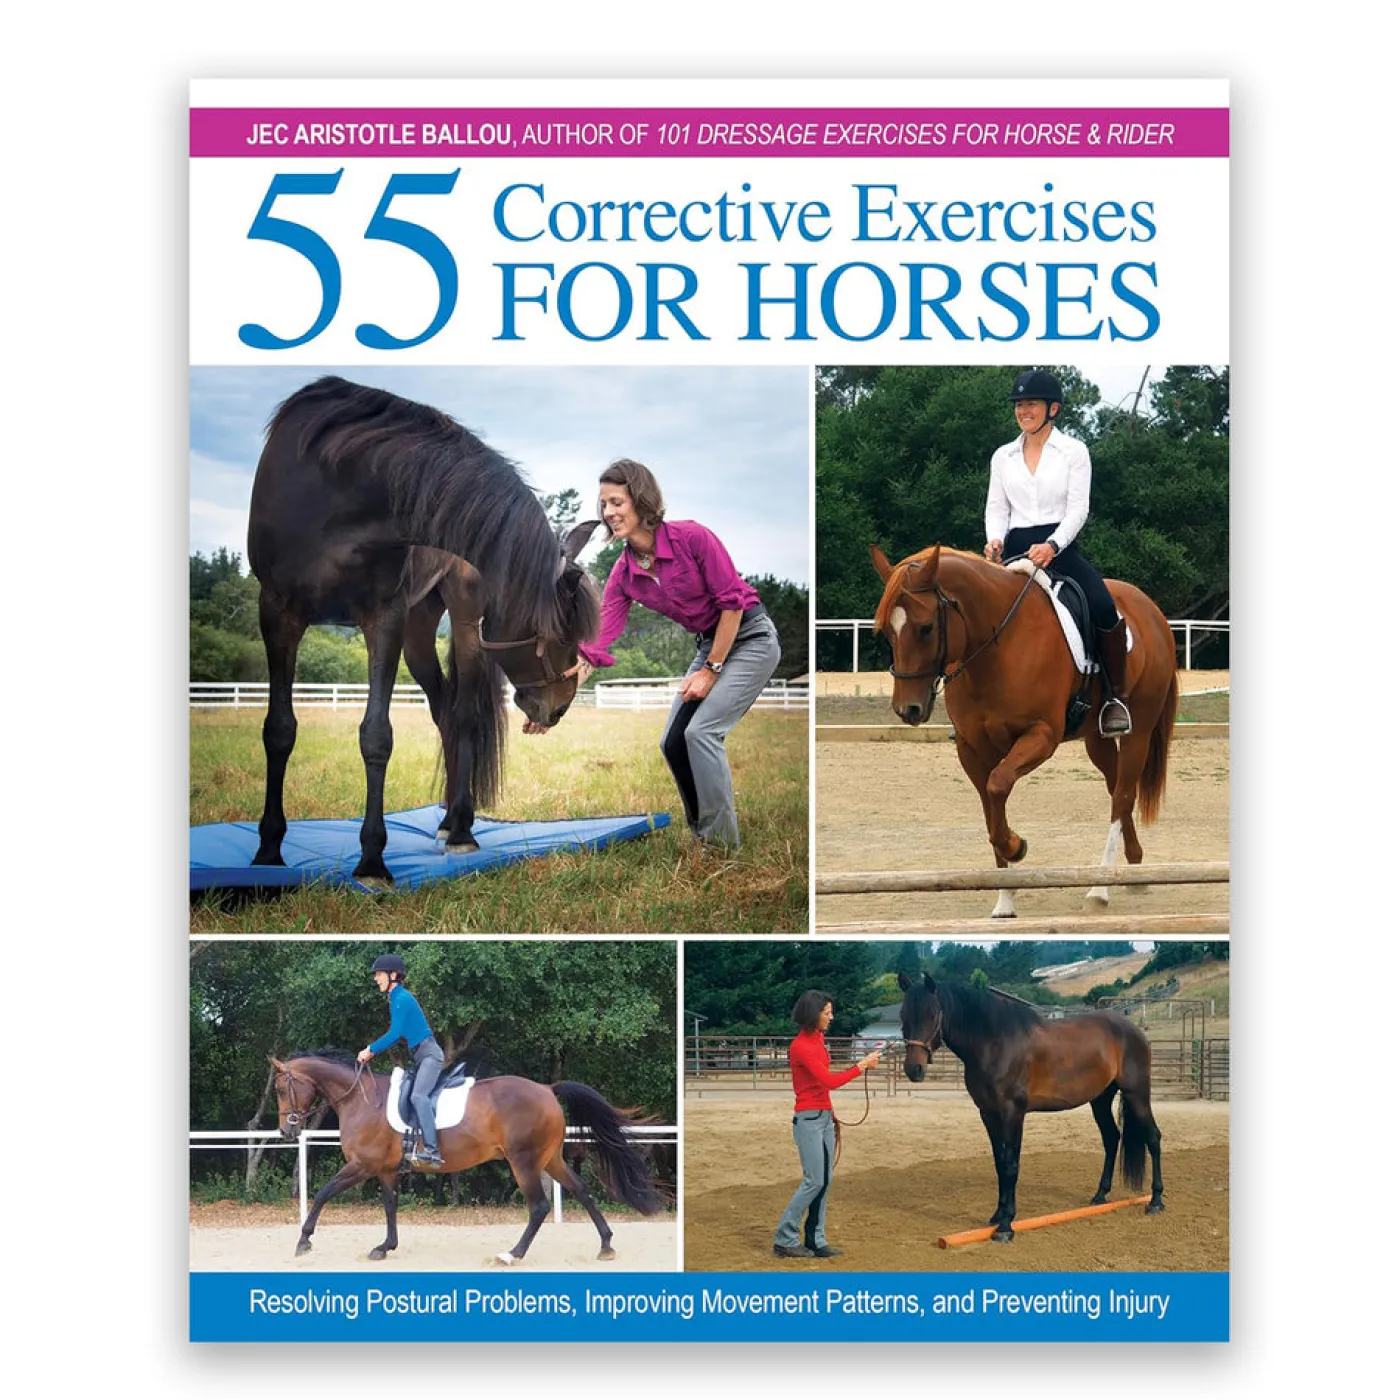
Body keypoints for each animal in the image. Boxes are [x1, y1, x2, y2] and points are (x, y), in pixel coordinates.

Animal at [247, 377, 601, 886]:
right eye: (561, 631)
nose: (560, 706)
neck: (339, 489)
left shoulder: (383, 618)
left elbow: (376, 736)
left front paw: (371, 862)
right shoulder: (277, 613)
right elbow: (279, 729)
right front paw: (269, 852)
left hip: (464, 626)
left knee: (465, 716)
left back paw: (461, 829)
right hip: (417, 634)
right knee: (445, 712)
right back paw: (450, 822)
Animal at [269, 1051, 663, 1265]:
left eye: (280, 1088)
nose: (286, 1131)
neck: (360, 1098)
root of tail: (546, 1089)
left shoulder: (362, 1166)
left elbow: (323, 1193)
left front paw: (303, 1241)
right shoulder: (385, 1170)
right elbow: (390, 1206)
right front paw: (385, 1247)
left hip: (523, 1162)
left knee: (538, 1207)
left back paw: (511, 1255)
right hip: (550, 1159)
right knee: (582, 1190)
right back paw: (606, 1245)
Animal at [871, 544, 1178, 915]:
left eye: (926, 628)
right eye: (887, 631)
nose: (908, 710)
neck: (997, 646)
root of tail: (1150, 608)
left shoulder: (1041, 735)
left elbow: (998, 784)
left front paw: (1015, 846)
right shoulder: (971, 748)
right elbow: (989, 808)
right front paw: (1004, 899)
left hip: (1140, 731)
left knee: (1122, 796)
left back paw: (1100, 888)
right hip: (1096, 739)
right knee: (1115, 786)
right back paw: (1134, 869)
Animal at [897, 972, 1164, 1242]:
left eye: (932, 1014)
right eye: (903, 1014)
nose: (913, 1069)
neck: (994, 1043)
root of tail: (1135, 1031)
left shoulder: (1012, 1113)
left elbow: (1011, 1165)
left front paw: (1006, 1225)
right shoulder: (988, 1114)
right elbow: (999, 1163)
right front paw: (997, 1216)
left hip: (1137, 1093)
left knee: (1153, 1137)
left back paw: (1155, 1201)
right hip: (1100, 1099)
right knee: (1111, 1138)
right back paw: (1100, 1196)